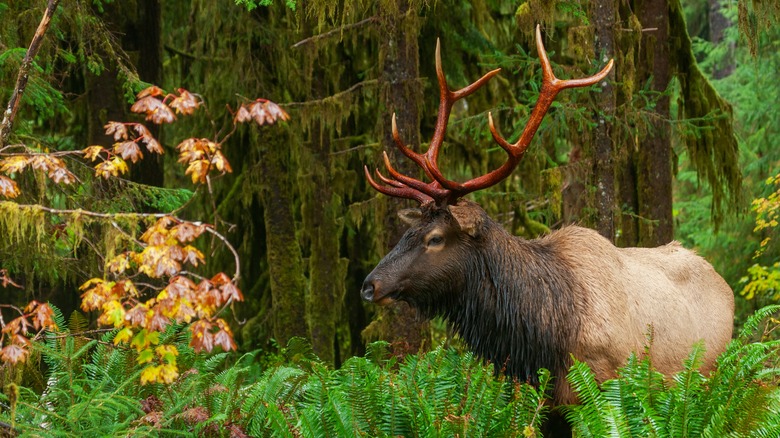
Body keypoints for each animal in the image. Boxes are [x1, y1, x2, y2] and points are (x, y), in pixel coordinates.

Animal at [360, 25, 735, 411]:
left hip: (706, 375)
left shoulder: (600, 389)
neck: (543, 338)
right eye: (407, 232)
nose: (369, 285)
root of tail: (723, 284)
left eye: (434, 238)